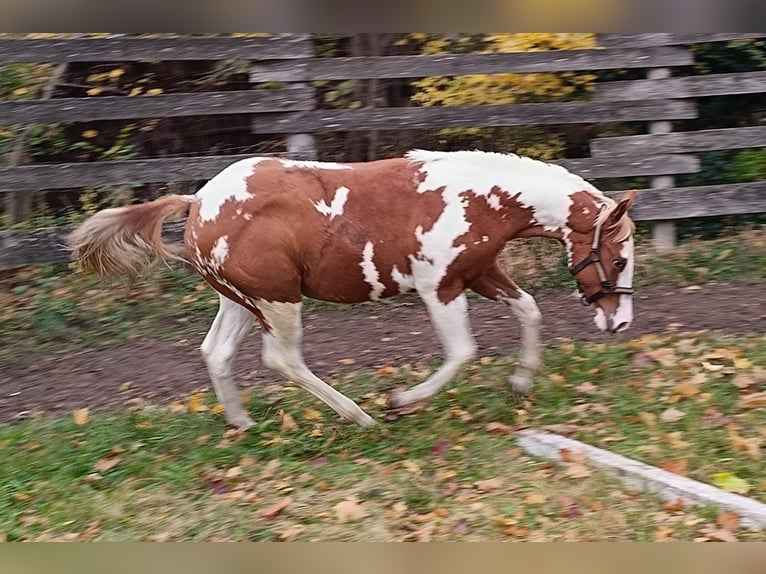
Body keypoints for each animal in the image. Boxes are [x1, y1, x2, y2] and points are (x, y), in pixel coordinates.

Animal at [70, 149, 637, 429]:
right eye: (620, 257)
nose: (621, 321)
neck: (478, 199)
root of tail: (198, 203)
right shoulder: (440, 286)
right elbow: (461, 352)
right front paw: (399, 400)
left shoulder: (478, 273)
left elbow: (530, 310)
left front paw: (520, 383)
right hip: (277, 299)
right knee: (281, 359)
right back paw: (358, 415)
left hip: (239, 299)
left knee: (216, 353)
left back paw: (242, 423)